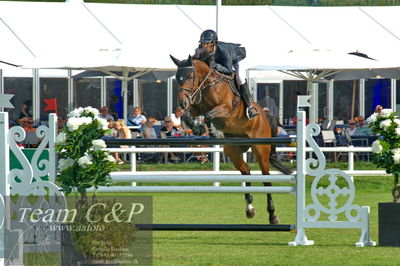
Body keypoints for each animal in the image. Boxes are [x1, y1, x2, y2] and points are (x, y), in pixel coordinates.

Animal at [170, 50, 292, 224]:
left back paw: (272, 215)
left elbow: (208, 116)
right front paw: (197, 128)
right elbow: (188, 116)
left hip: (260, 148)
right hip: (233, 151)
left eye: (190, 76)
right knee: (246, 171)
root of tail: (265, 116)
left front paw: (212, 131)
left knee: (266, 179)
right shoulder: (196, 108)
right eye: (177, 77)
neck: (207, 85)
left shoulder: (225, 108)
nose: (182, 103)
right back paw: (249, 208)